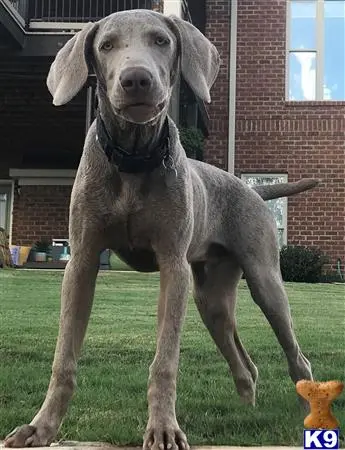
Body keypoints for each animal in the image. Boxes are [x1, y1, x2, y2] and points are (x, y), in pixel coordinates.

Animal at [4, 9, 314, 450]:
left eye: (161, 41)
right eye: (106, 45)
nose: (136, 79)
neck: (134, 157)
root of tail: (252, 189)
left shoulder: (173, 266)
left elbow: (165, 360)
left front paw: (164, 429)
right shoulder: (81, 261)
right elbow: (64, 357)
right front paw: (40, 428)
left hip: (265, 282)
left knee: (296, 355)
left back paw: (309, 415)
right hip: (211, 298)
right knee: (245, 362)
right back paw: (246, 411)